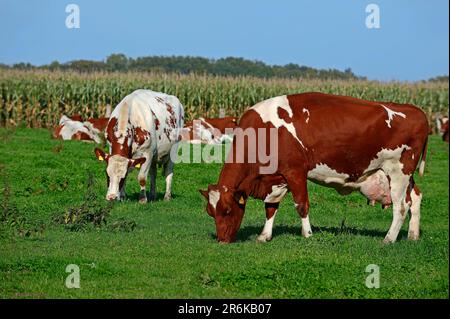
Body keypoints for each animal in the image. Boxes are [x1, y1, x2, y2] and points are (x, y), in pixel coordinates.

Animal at [201, 92, 428, 245]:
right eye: (210, 212)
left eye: (227, 210)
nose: (222, 240)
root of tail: (417, 111)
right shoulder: (277, 178)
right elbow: (271, 207)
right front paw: (264, 236)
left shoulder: (296, 172)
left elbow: (302, 205)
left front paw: (308, 234)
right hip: (403, 175)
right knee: (416, 197)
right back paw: (413, 235)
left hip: (398, 171)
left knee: (401, 206)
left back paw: (388, 239)